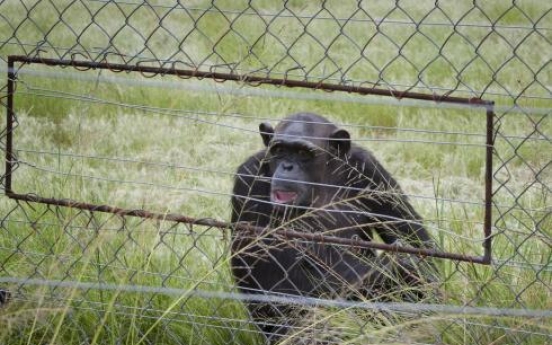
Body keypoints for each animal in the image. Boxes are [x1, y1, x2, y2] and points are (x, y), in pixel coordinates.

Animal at [231, 112, 438, 342]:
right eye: (279, 150)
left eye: (303, 153)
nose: (287, 167)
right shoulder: (249, 180)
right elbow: (276, 280)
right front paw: (392, 268)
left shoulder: (370, 170)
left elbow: (415, 239)